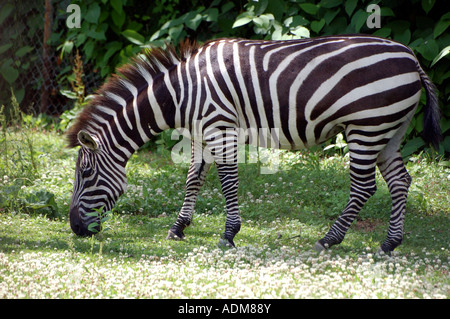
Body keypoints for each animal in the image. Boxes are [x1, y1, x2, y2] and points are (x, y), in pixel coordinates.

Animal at [67, 35, 440, 255]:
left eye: (85, 174)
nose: (75, 230)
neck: (182, 93)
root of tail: (411, 57)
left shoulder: (220, 127)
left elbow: (227, 181)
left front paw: (229, 233)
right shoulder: (200, 133)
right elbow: (193, 180)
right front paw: (178, 228)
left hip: (367, 126)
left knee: (364, 187)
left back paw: (329, 239)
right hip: (390, 130)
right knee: (400, 181)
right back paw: (390, 243)